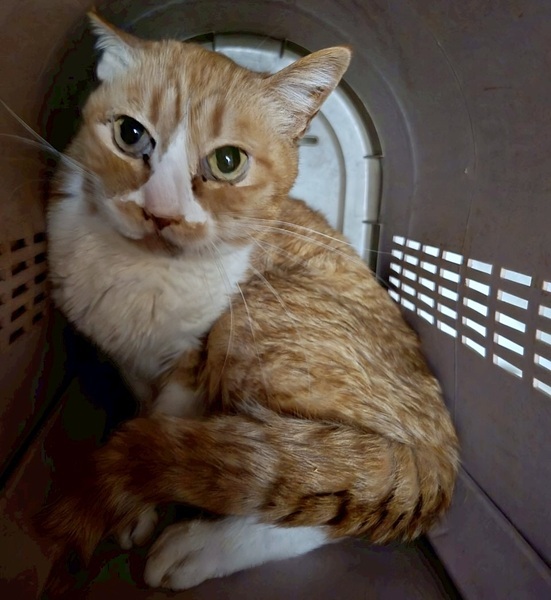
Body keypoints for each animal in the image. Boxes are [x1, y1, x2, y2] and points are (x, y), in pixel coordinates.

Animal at [41, 11, 459, 592]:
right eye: (130, 134)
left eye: (227, 162)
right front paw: (132, 507)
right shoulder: (124, 358)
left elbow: (165, 434)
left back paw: (199, 547)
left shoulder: (191, 368)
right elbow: (143, 412)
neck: (146, 277)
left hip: (258, 322)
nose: (161, 213)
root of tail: (440, 454)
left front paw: (133, 500)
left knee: (305, 489)